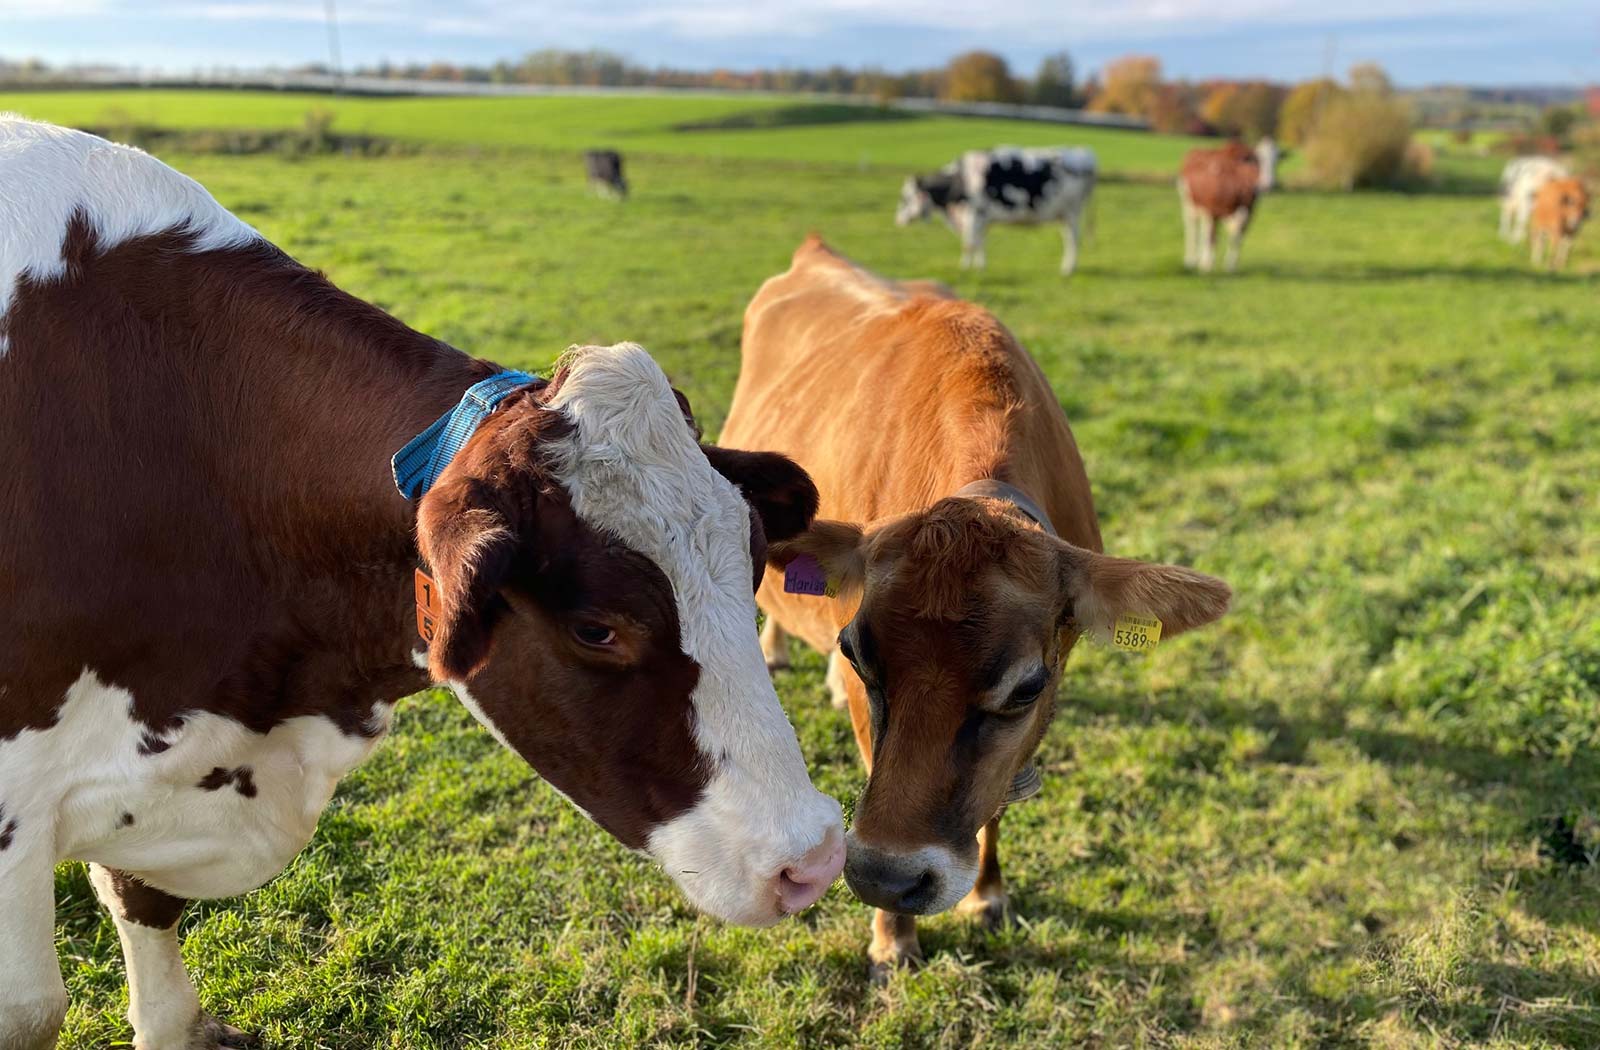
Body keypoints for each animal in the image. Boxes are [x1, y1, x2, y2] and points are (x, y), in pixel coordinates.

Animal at [726, 235, 1235, 973]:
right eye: (860, 655)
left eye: (1026, 688)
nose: (886, 878)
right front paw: (893, 937)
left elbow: (994, 799)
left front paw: (987, 894)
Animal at [896, 145, 1094, 275]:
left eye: (906, 198)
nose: (897, 220)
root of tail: (1084, 153)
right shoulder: (982, 218)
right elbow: (979, 243)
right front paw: (980, 267)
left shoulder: (973, 214)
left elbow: (968, 243)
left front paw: (964, 268)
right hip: (1063, 215)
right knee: (1068, 238)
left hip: (1072, 211)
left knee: (1073, 240)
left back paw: (1068, 269)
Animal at [1171, 139, 1267, 275]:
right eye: (1249, 163)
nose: (1266, 183)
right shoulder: (1213, 209)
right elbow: (1212, 238)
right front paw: (1207, 266)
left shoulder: (1248, 213)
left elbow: (1237, 238)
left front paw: (1230, 267)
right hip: (1188, 203)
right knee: (1193, 229)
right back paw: (1191, 261)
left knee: (1204, 230)